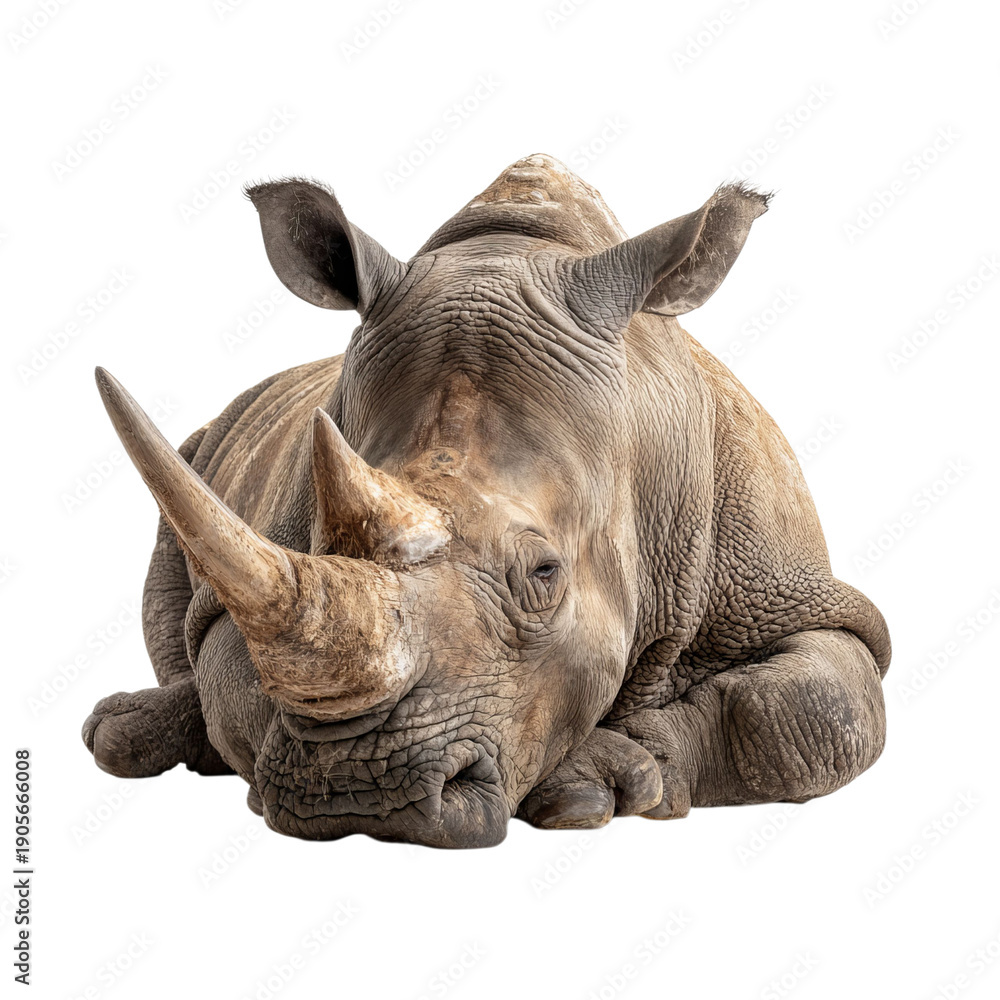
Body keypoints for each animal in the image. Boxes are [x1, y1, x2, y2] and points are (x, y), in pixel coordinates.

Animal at [82, 154, 889, 848]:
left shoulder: (793, 594)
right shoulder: (242, 590)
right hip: (204, 442)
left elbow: (806, 708)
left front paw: (606, 784)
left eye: (545, 575)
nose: (360, 795)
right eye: (315, 541)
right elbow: (240, 671)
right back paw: (120, 733)